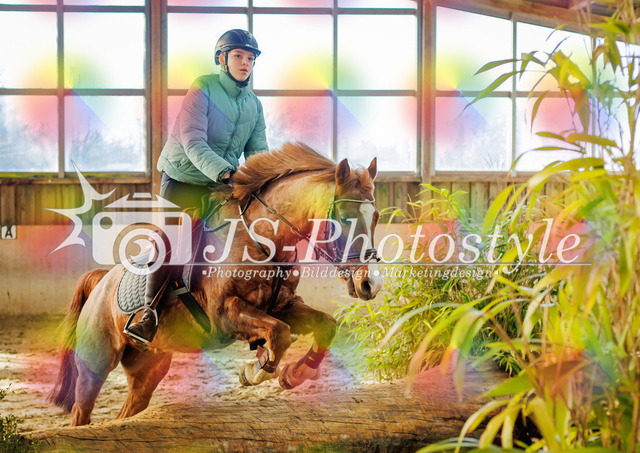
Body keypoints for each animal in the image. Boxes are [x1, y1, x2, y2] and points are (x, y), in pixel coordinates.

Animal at [47, 143, 383, 426]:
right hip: (96, 361)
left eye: (377, 215)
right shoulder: (224, 315)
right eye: (345, 217)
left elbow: (324, 326)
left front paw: (293, 374)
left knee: (127, 413)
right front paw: (256, 370)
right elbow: (279, 333)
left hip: (148, 365)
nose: (370, 284)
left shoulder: (283, 305)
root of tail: (101, 282)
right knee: (81, 412)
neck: (262, 238)